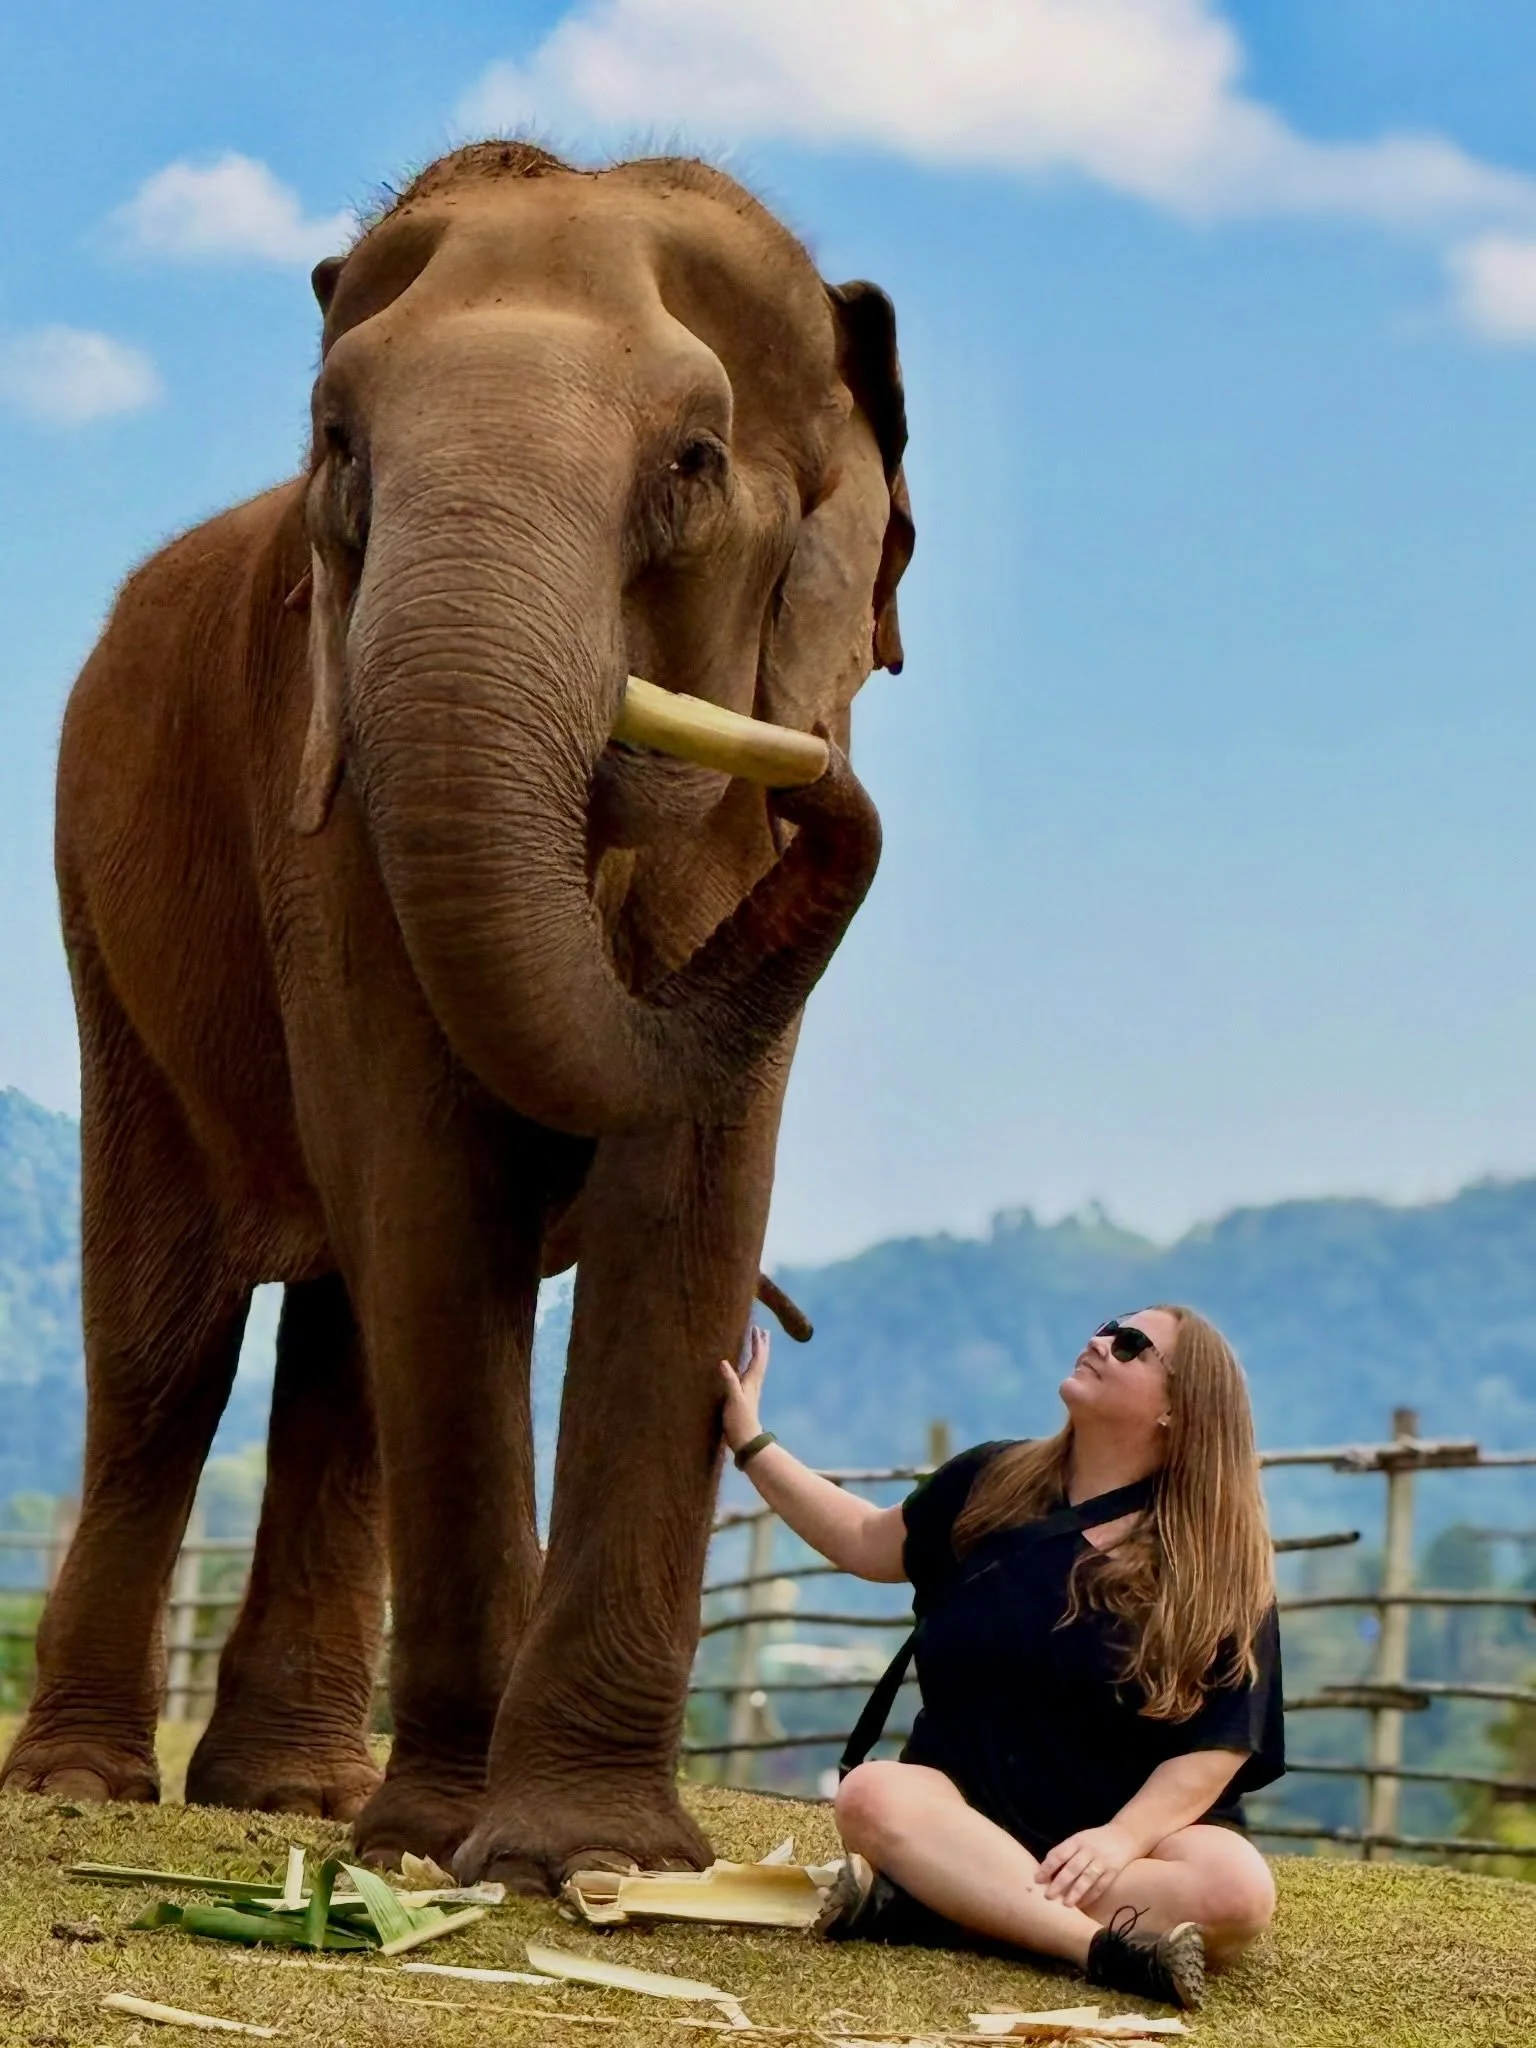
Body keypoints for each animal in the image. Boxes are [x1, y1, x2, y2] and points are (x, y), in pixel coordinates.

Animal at [0, 140, 913, 1889]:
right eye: (337, 447)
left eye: (697, 461)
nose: (820, 772)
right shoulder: (323, 802)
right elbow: (432, 1179)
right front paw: (482, 1846)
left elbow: (688, 1193)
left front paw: (589, 1861)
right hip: (105, 928)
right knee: (167, 1347)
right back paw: (90, 1787)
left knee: (342, 1334)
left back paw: (291, 1800)